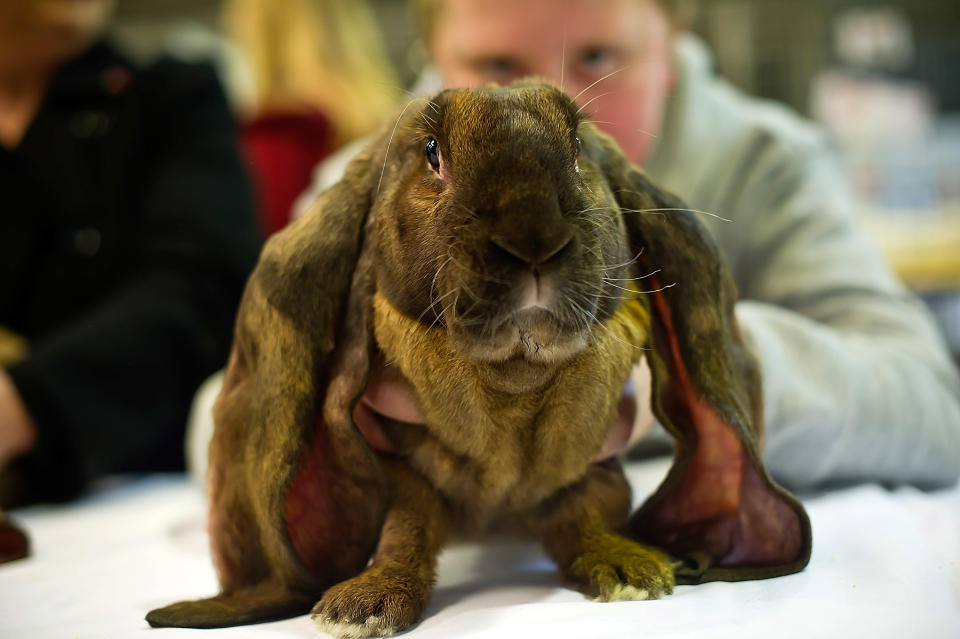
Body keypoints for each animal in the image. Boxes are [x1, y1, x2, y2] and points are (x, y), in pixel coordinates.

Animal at [148, 81, 808, 639]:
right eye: (432, 153)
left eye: (576, 146)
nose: (534, 240)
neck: (514, 388)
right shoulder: (403, 473)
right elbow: (405, 531)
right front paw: (362, 605)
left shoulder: (595, 469)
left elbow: (592, 515)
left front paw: (630, 569)